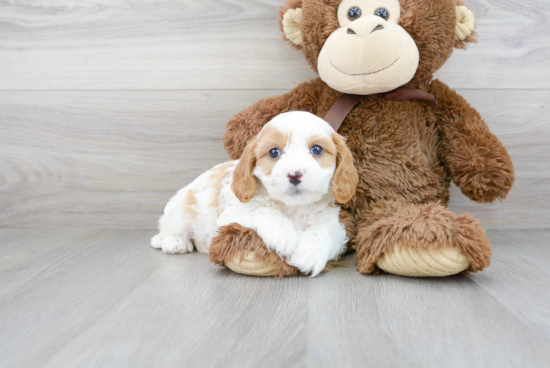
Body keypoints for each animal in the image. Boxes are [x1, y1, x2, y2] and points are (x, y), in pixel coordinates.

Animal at [151, 112, 360, 276]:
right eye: (274, 152)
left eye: (316, 149)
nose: (294, 174)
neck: (293, 207)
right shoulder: (232, 213)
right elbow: (261, 211)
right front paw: (282, 235)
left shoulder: (332, 220)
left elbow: (326, 231)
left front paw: (309, 253)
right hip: (179, 210)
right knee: (170, 229)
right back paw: (175, 242)